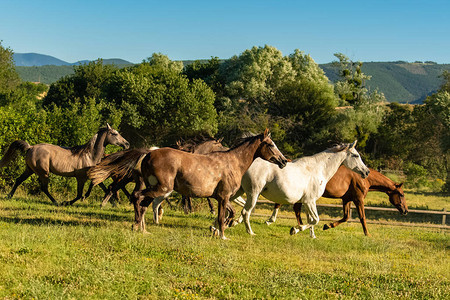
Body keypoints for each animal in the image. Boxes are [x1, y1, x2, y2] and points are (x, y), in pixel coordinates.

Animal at [0, 124, 130, 206]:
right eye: (114, 133)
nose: (127, 144)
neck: (89, 155)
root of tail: (30, 147)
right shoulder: (81, 178)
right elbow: (79, 194)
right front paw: (67, 202)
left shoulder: (91, 176)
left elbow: (103, 187)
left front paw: (113, 203)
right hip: (43, 172)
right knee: (44, 188)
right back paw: (56, 202)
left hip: (29, 170)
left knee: (19, 180)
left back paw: (9, 196)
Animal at [136, 129, 288, 239]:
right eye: (271, 144)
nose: (284, 161)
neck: (233, 162)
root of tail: (149, 155)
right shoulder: (224, 197)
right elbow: (221, 217)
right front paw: (222, 235)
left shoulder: (221, 197)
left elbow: (230, 213)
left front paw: (222, 227)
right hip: (161, 188)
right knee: (138, 198)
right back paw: (137, 226)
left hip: (155, 189)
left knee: (143, 205)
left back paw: (142, 229)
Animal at [230, 142, 370, 238]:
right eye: (356, 155)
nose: (366, 172)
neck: (318, 169)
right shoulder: (310, 201)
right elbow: (315, 220)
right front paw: (295, 230)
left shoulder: (307, 202)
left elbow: (311, 220)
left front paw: (312, 236)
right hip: (253, 193)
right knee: (246, 212)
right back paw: (250, 232)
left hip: (239, 191)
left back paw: (230, 223)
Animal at [264, 165, 408, 236]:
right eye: (401, 195)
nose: (405, 210)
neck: (364, 178)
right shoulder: (358, 199)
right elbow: (362, 217)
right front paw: (367, 234)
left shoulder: (347, 199)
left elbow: (346, 217)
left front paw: (327, 226)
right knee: (285, 205)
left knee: (294, 209)